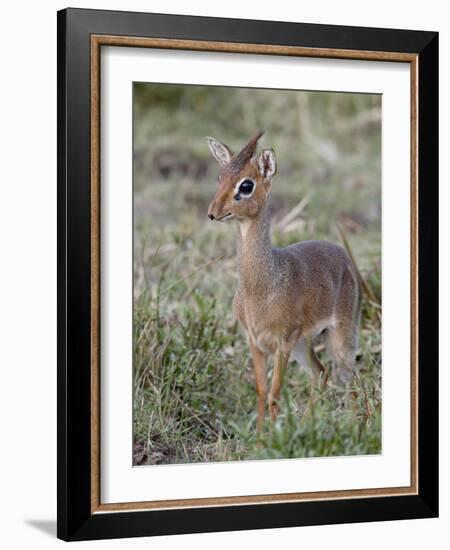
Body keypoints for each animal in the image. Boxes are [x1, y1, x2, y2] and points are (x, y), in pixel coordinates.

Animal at [208, 133, 362, 432]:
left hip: (340, 337)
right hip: (304, 345)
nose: (212, 213)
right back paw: (305, 425)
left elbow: (274, 394)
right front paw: (259, 438)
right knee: (321, 373)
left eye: (246, 184)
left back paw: (351, 424)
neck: (261, 289)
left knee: (350, 378)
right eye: (220, 176)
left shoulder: (282, 343)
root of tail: (343, 255)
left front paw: (275, 436)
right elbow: (260, 392)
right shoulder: (255, 342)